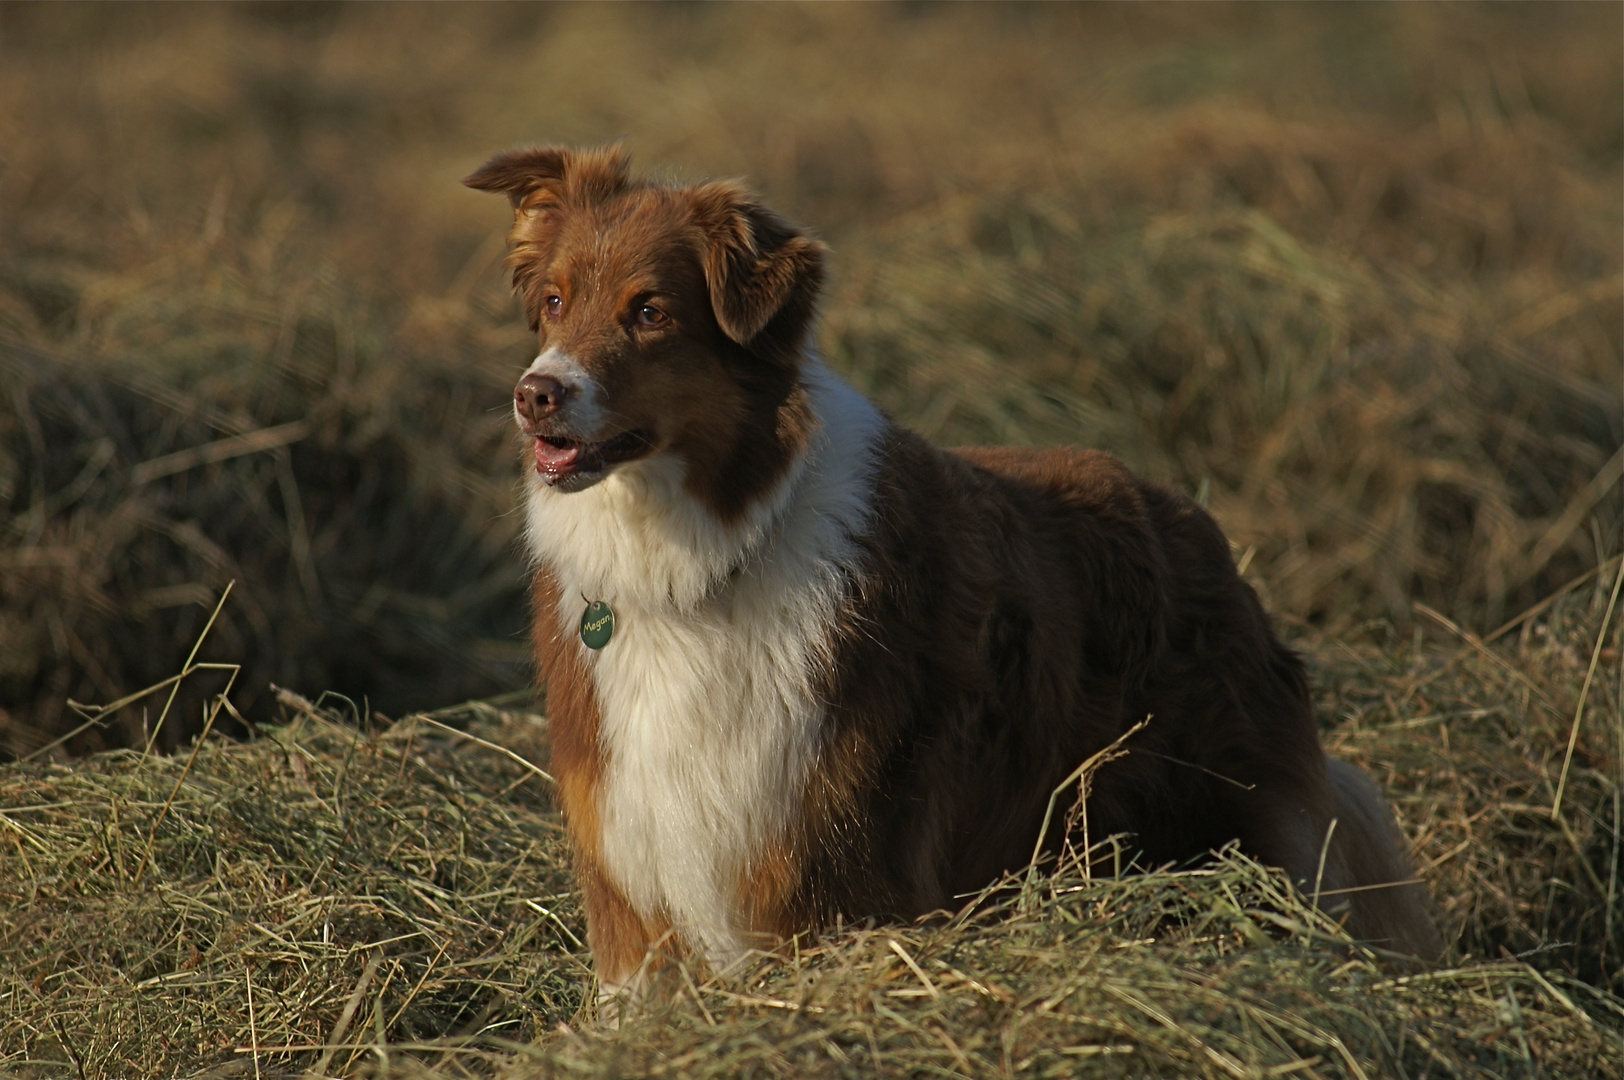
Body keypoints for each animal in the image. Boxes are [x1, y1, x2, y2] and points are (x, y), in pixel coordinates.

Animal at [464, 147, 1442, 1006]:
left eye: (651, 312)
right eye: (553, 302)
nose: (535, 394)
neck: (703, 557)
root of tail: (1197, 522)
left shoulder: (835, 868)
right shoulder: (634, 871)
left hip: (1240, 820)